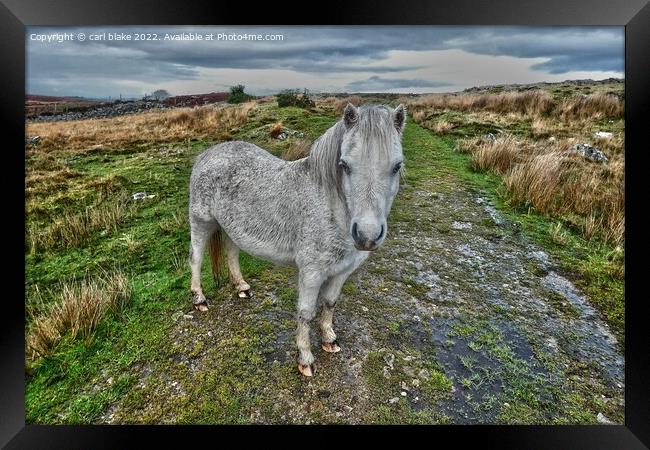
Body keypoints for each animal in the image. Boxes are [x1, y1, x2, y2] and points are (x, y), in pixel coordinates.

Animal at [185, 104, 402, 376]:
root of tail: (207, 154)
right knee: (196, 259)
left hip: (232, 227)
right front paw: (305, 359)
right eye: (344, 165)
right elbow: (306, 313)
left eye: (397, 166)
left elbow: (330, 303)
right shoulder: (311, 273)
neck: (328, 206)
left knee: (231, 253)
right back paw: (199, 300)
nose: (367, 235)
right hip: (201, 222)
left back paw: (241, 287)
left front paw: (329, 339)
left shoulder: (342, 272)